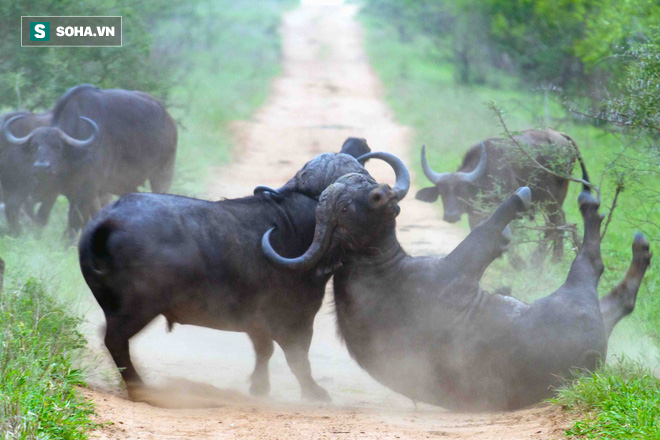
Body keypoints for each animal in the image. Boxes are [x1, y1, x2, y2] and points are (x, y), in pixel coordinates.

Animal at [2, 85, 178, 237]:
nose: (41, 167)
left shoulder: (88, 189)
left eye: (58, 147)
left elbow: (75, 219)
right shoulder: (62, 190)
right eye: (34, 146)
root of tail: (168, 120)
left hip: (163, 173)